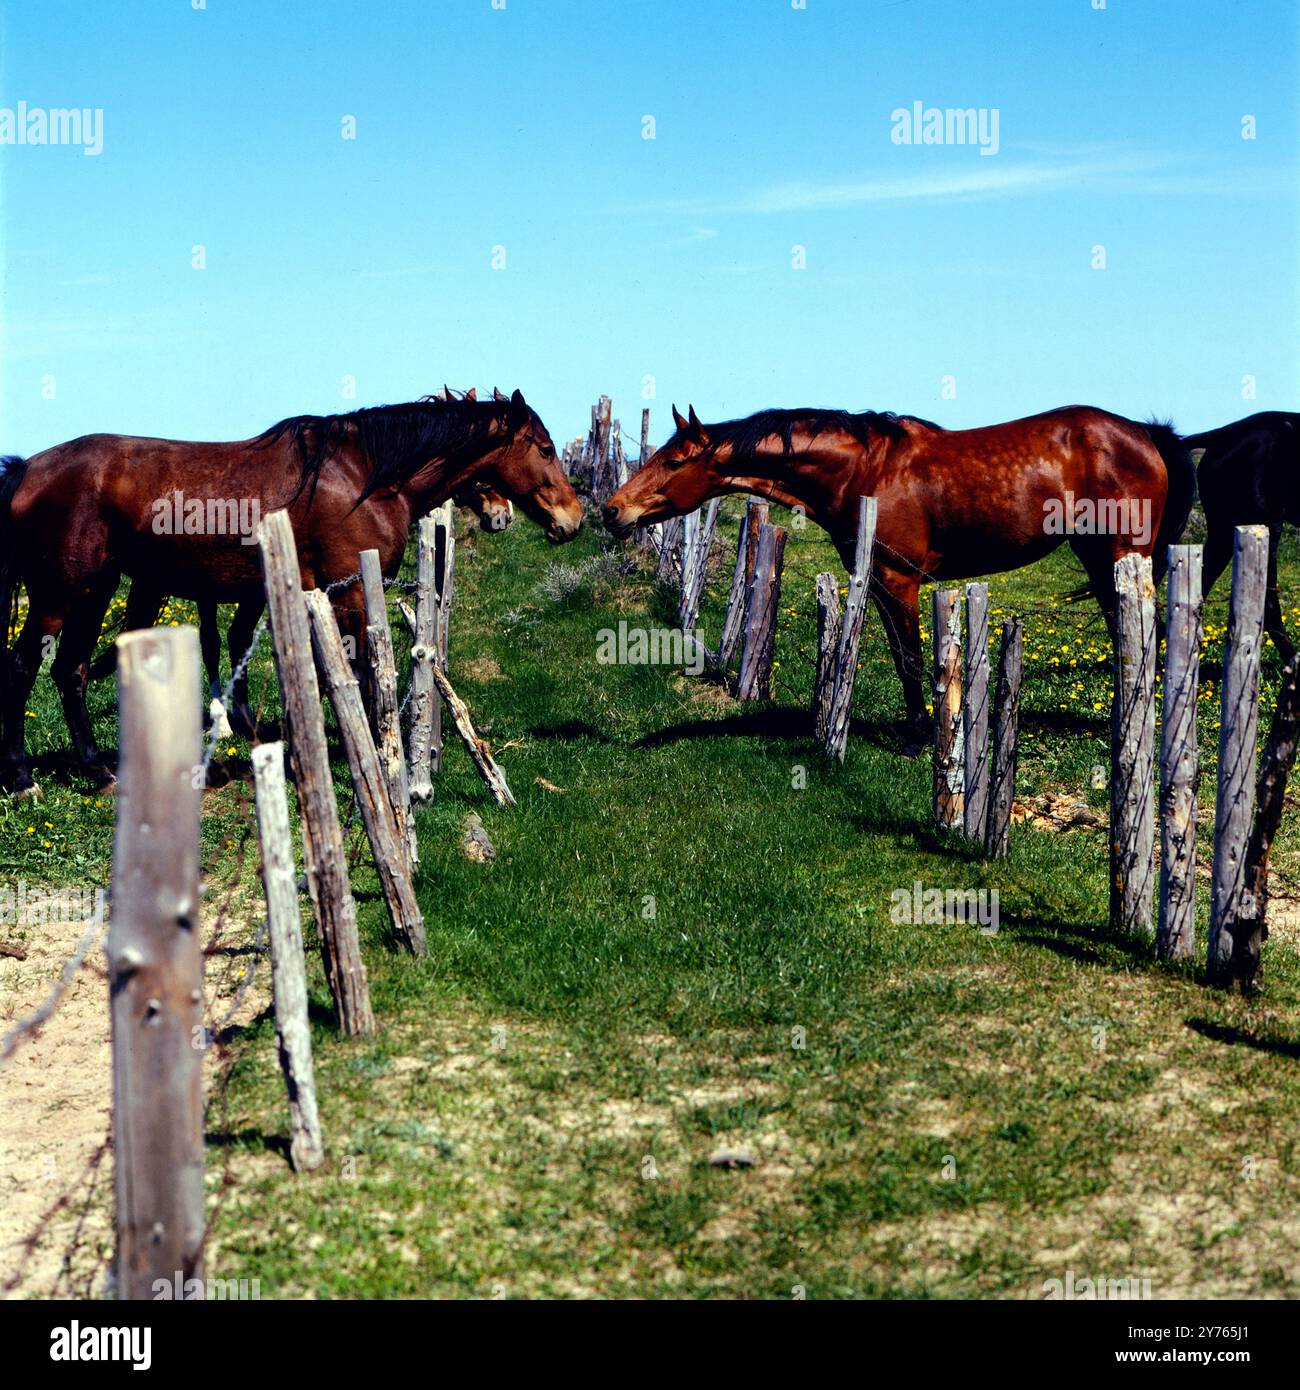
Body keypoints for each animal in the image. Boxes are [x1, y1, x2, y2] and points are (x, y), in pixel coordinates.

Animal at [0, 386, 578, 795]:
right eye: (546, 448)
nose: (571, 520)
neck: (365, 477)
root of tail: (30, 467)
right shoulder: (348, 597)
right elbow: (359, 677)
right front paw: (371, 755)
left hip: (95, 591)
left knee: (70, 671)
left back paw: (101, 771)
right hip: (60, 594)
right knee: (24, 667)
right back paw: (23, 778)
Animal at [606, 405, 1195, 750]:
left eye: (676, 461)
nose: (614, 511)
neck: (864, 471)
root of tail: (1147, 434)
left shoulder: (900, 580)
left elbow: (911, 659)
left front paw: (917, 738)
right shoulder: (878, 580)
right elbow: (897, 653)